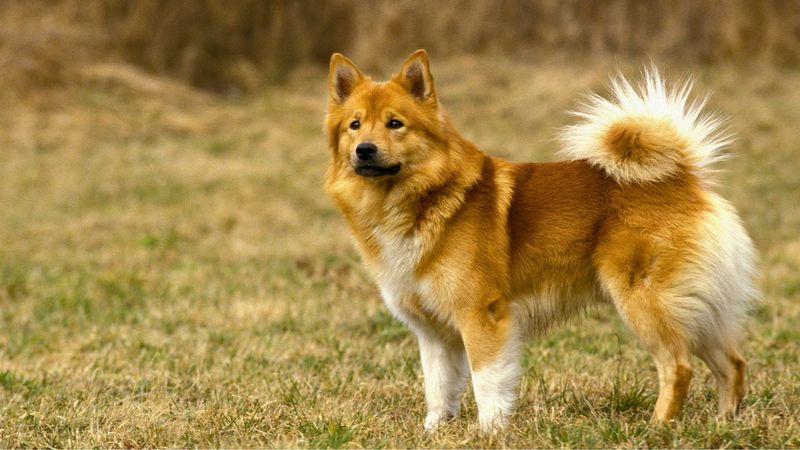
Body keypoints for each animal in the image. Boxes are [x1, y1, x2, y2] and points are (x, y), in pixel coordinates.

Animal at [324, 50, 756, 432]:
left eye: (395, 123)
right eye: (354, 125)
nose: (365, 150)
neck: (420, 198)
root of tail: (681, 177)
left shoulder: (482, 316)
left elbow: (486, 382)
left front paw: (490, 432)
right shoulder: (433, 332)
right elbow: (438, 388)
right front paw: (434, 431)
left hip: (646, 302)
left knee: (679, 367)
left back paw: (658, 427)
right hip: (696, 308)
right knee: (732, 364)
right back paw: (725, 424)